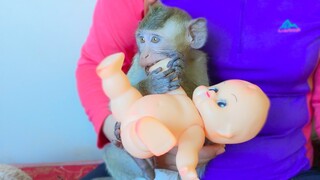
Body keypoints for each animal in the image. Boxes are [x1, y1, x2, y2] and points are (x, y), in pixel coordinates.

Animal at [104, 2, 210, 179]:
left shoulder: (199, 61)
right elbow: (117, 103)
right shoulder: (137, 62)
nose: (145, 55)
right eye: (141, 39)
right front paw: (152, 84)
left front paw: (179, 70)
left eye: (154, 39)